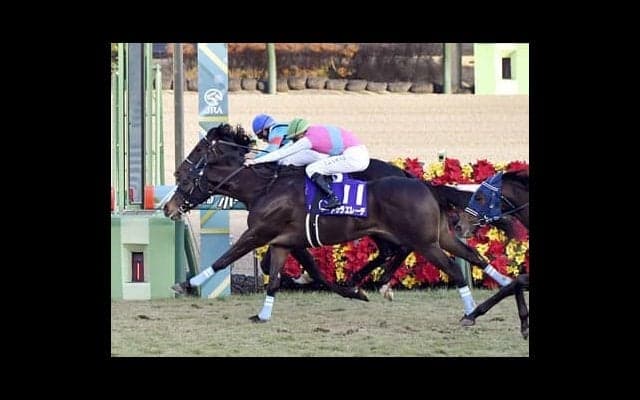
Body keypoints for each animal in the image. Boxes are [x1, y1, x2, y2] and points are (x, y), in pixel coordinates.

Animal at [164, 123, 485, 323]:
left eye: (186, 178)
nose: (168, 207)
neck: (265, 188)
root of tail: (422, 183)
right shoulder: (284, 241)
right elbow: (279, 275)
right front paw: (266, 312)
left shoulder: (259, 233)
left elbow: (225, 259)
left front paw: (187, 283)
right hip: (420, 235)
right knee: (457, 255)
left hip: (421, 239)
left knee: (443, 263)